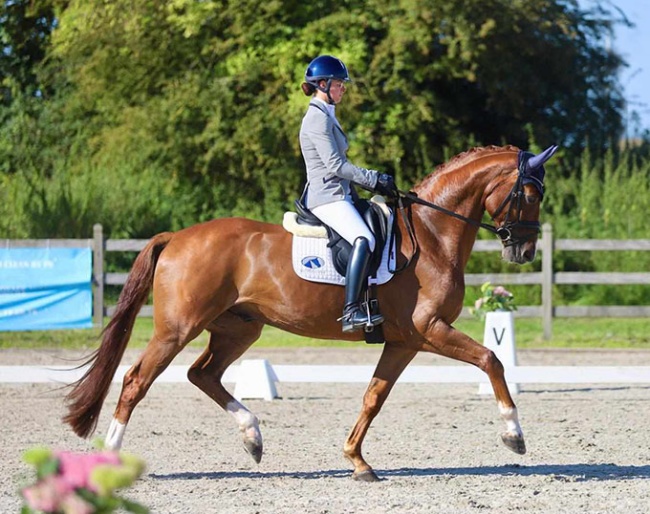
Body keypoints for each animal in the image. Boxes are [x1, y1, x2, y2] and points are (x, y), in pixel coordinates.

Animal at [63, 143, 556, 480]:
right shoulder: (430, 329)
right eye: (531, 194)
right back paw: (113, 456)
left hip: (239, 329)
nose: (525, 251)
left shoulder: (404, 341)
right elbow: (491, 359)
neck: (433, 235)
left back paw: (253, 437)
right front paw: (514, 435)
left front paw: (357, 461)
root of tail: (177, 236)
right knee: (136, 380)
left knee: (202, 374)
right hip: (177, 328)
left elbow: (374, 397)